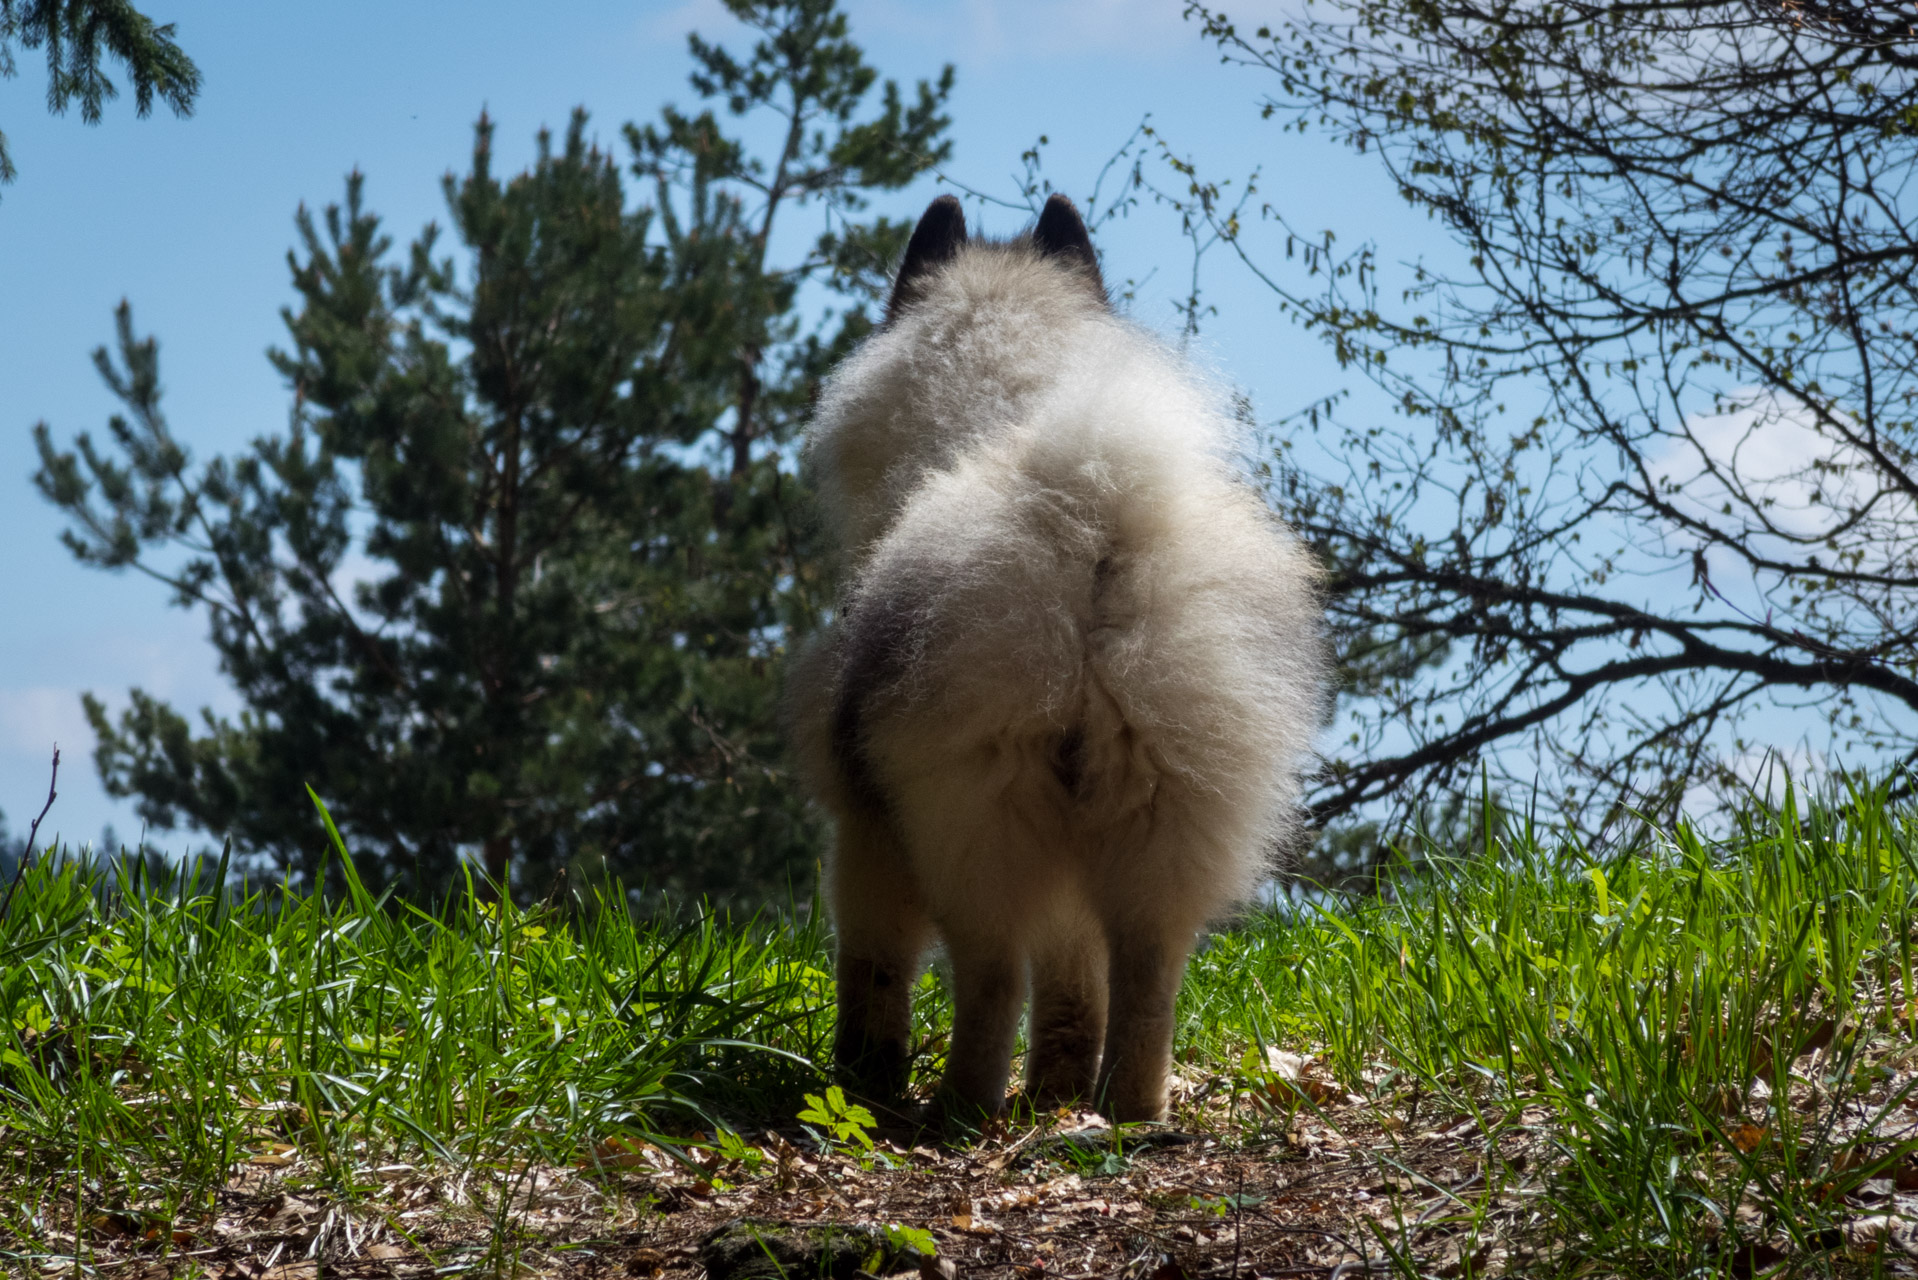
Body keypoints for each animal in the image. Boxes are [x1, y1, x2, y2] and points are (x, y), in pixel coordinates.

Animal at [786, 189, 1327, 1120]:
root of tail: (1096, 516)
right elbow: (1075, 986)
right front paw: (1058, 1087)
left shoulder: (866, 831)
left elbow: (875, 969)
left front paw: (863, 1078)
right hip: (1162, 809)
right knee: (1146, 978)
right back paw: (1127, 1108)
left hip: (976, 819)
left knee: (991, 978)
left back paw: (959, 1110)